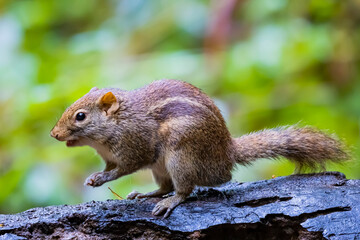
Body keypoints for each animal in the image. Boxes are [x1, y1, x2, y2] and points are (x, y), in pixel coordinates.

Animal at [50, 79, 348, 218]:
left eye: (80, 116)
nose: (54, 134)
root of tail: (226, 155)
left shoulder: (135, 147)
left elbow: (123, 168)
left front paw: (102, 179)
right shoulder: (110, 156)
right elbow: (110, 167)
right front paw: (95, 177)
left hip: (181, 157)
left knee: (184, 189)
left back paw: (169, 202)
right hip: (162, 168)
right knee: (165, 186)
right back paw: (147, 194)